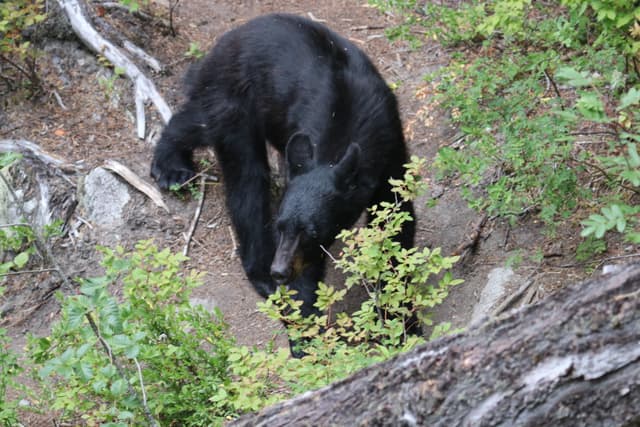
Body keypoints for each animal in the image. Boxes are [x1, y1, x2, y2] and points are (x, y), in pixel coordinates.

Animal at [151, 13, 416, 347]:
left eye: (313, 231)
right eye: (280, 226)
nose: (280, 270)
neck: (349, 126)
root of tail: (220, 46)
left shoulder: (391, 148)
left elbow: (396, 222)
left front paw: (404, 326)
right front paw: (308, 342)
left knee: (198, 122)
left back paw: (172, 163)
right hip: (236, 99)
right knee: (247, 181)